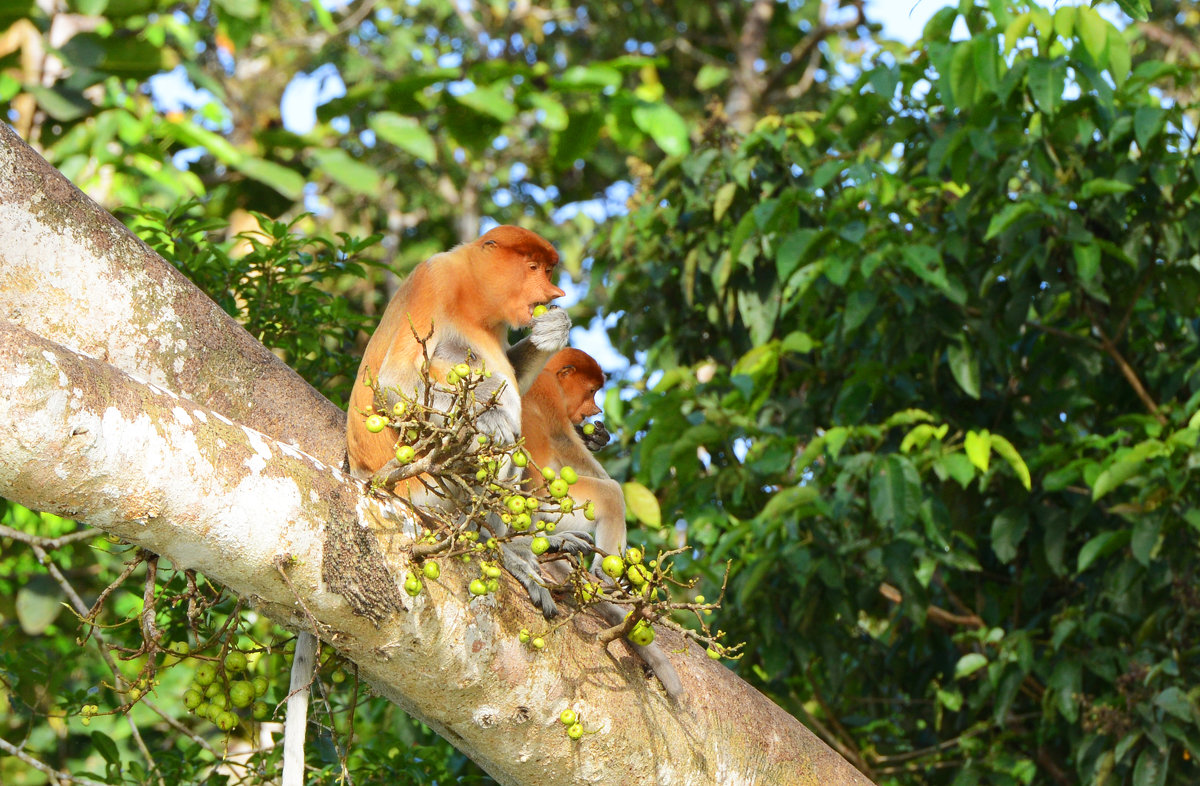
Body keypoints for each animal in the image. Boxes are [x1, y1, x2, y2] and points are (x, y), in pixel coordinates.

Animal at [518, 350, 681, 700]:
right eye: (591, 391)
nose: (594, 411)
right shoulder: (548, 392)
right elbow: (566, 444)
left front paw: (595, 436)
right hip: (556, 504)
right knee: (611, 495)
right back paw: (606, 576)